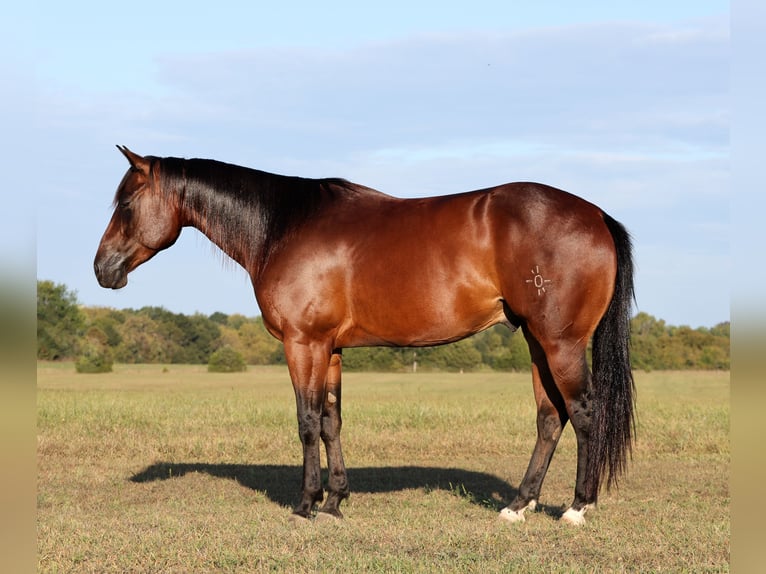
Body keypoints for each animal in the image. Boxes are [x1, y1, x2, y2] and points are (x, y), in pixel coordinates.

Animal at [94, 147, 636, 528]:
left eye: (127, 203)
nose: (102, 269)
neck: (284, 227)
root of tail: (596, 215)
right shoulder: (330, 349)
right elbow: (332, 421)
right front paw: (335, 500)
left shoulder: (303, 343)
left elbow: (307, 421)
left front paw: (306, 504)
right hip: (537, 343)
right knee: (550, 418)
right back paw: (519, 505)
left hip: (560, 343)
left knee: (584, 413)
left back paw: (577, 508)